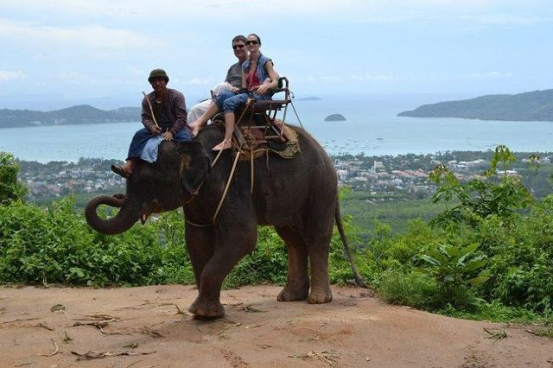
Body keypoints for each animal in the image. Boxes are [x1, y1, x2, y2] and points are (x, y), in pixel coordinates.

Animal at [85, 124, 362, 320]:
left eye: (149, 181)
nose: (116, 197)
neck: (190, 143)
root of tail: (327, 156)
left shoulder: (229, 182)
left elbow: (243, 236)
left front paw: (200, 312)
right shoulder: (197, 196)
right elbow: (196, 240)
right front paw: (206, 313)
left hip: (321, 187)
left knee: (316, 237)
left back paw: (317, 300)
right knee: (292, 239)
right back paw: (289, 297)